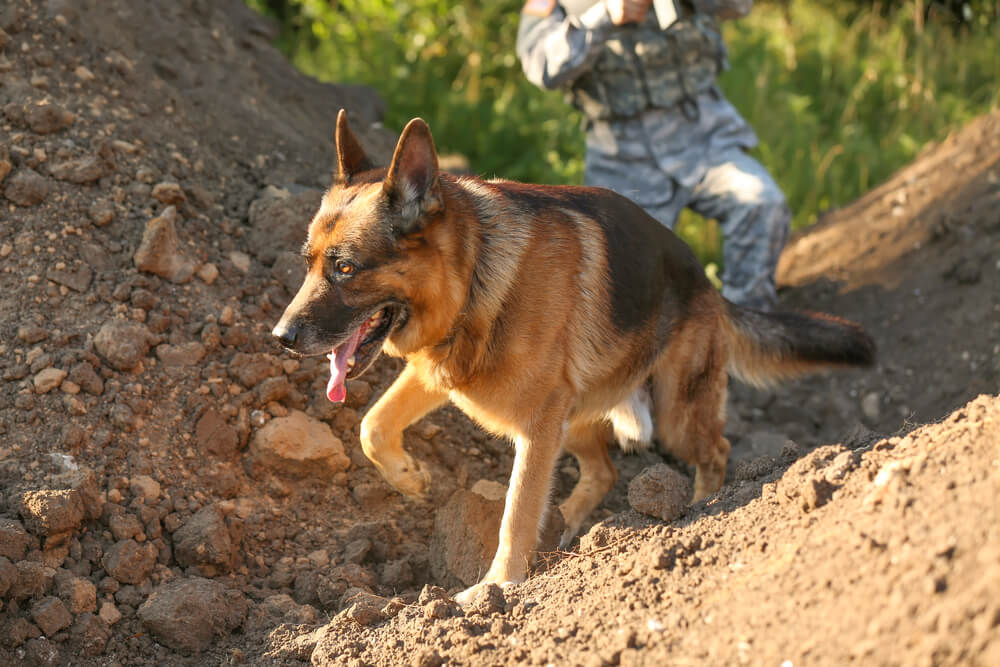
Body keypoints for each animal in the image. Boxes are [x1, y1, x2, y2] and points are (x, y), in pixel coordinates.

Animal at [274, 111, 876, 604]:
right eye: (307, 263)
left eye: (346, 268)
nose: (280, 336)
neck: (476, 278)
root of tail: (707, 284)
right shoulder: (437, 375)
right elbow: (372, 426)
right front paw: (411, 480)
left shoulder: (537, 427)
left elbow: (516, 512)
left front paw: (496, 587)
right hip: (583, 417)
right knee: (605, 471)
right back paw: (567, 530)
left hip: (672, 416)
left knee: (716, 450)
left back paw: (704, 510)